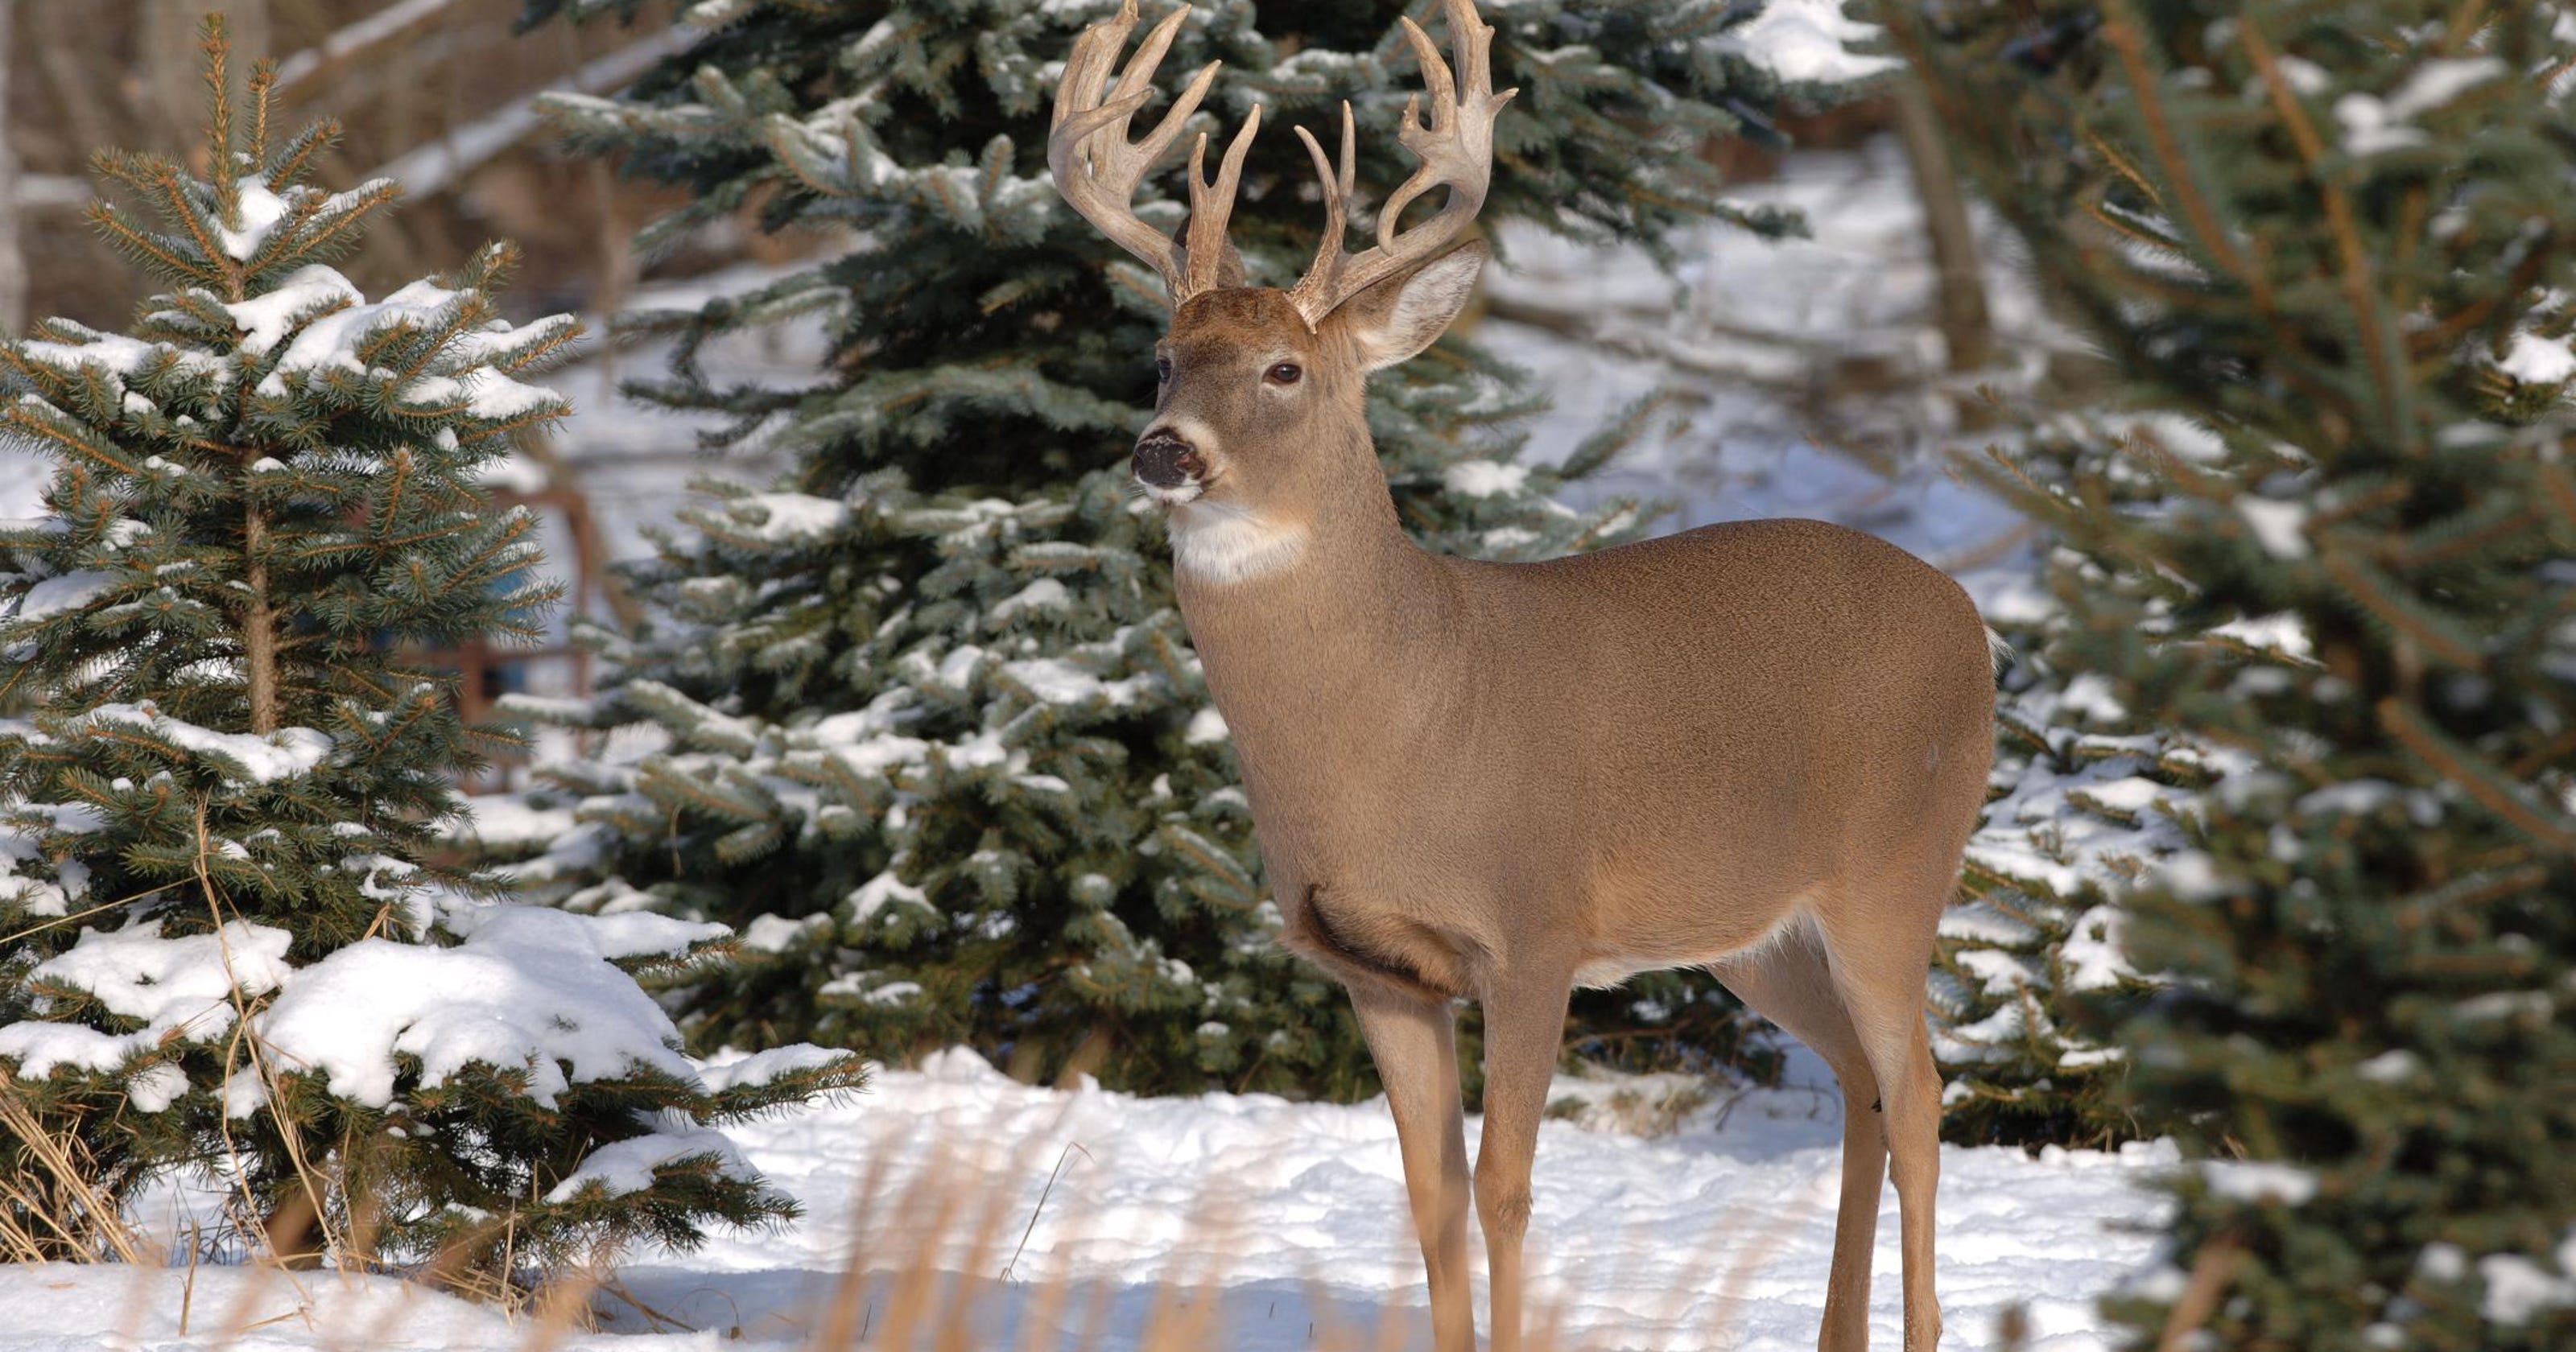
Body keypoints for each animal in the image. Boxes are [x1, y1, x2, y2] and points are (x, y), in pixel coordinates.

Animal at [1049, 3, 1995, 1349]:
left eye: (1285, 371)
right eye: (1164, 361)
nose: (1164, 451)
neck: (1400, 721)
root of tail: (1972, 618)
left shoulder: (1536, 927)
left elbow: (1504, 1188)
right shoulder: (1373, 966)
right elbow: (1429, 1197)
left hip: (1895, 870)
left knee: (1918, 1093)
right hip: (1754, 933)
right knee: (1862, 1083)